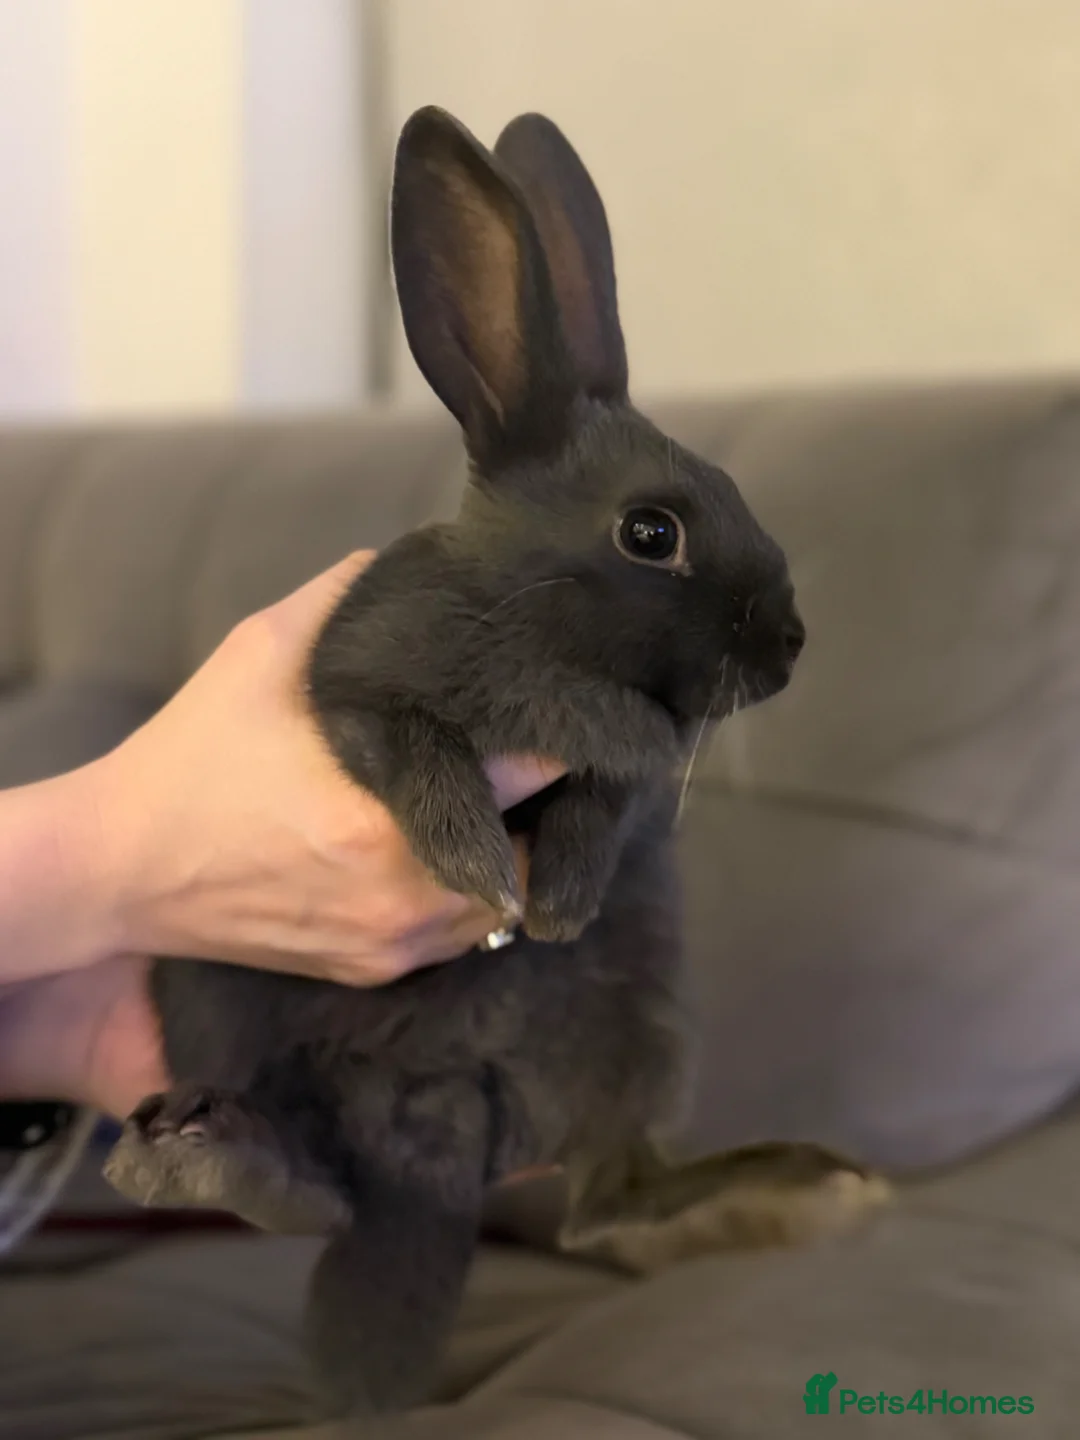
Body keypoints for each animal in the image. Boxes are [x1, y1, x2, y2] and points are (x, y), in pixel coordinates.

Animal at [103, 105, 889, 1422]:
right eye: (652, 532)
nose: (788, 645)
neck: (548, 643)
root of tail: (436, 1124)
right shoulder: (352, 684)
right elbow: (413, 747)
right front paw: (480, 871)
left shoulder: (624, 784)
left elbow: (604, 799)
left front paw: (557, 901)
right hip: (207, 993)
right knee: (316, 1190)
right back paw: (202, 1154)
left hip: (646, 1022)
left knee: (598, 1204)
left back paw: (807, 1190)